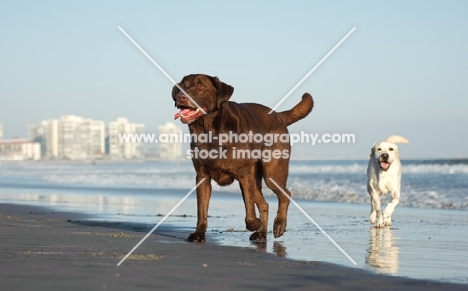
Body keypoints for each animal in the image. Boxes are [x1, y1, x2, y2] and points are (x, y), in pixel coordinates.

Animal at [172, 74, 314, 243]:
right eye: (182, 86)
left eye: (201, 86)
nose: (181, 96)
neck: (209, 132)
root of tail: (278, 115)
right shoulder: (202, 176)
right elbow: (202, 210)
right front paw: (199, 233)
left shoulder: (244, 175)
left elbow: (249, 211)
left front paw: (254, 223)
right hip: (256, 178)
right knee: (264, 204)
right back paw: (262, 233)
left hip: (271, 172)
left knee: (285, 194)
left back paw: (279, 224)